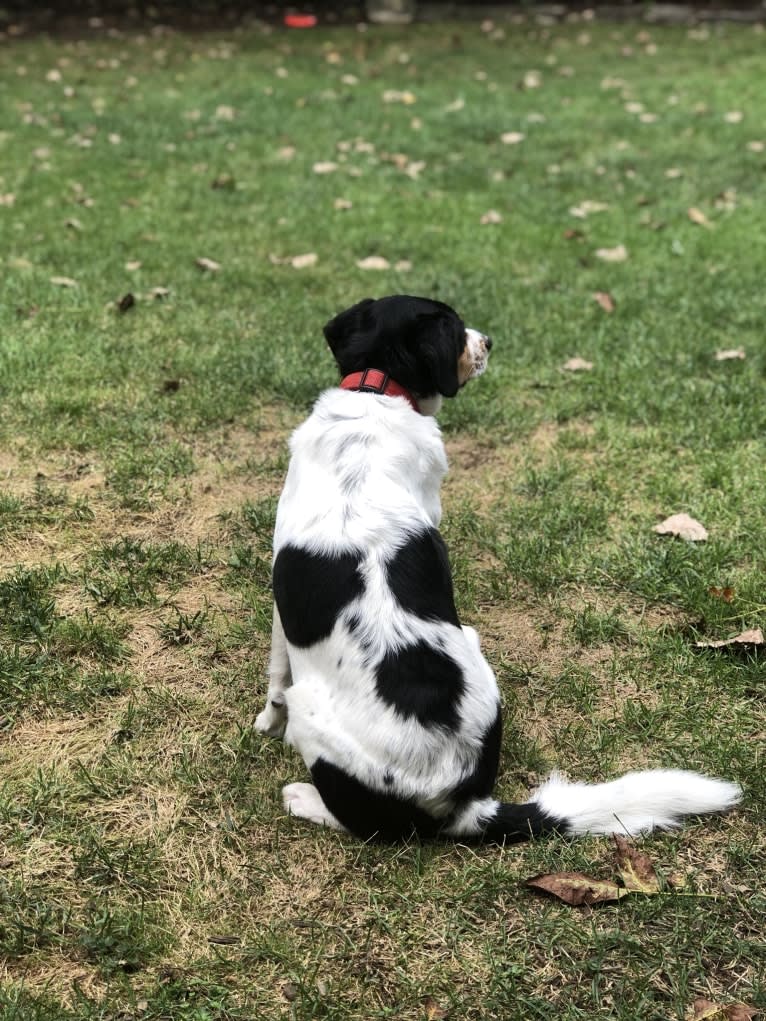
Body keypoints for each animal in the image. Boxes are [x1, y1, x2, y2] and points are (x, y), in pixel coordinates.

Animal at [256, 296, 743, 845]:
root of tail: (462, 803)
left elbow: (275, 678)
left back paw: (304, 798)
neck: (379, 390)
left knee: (366, 824)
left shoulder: (280, 611)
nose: (488, 341)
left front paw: (266, 724)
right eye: (455, 329)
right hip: (470, 640)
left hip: (311, 709)